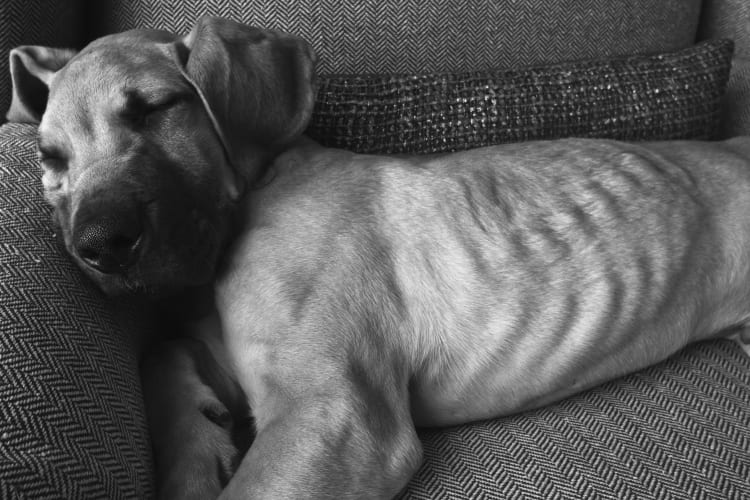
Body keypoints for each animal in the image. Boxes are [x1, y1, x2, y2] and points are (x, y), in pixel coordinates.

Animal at [8, 15, 750, 500]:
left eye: (157, 107)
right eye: (50, 158)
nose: (99, 246)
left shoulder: (335, 415)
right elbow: (161, 352)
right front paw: (195, 448)